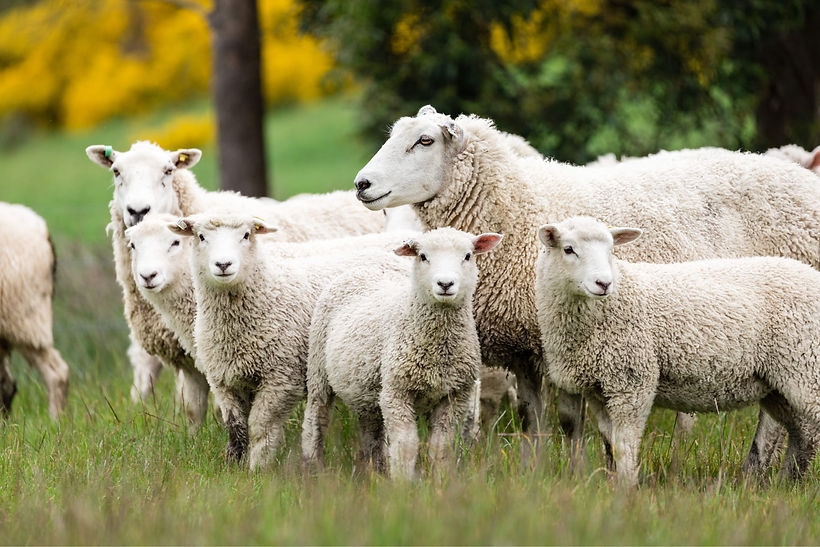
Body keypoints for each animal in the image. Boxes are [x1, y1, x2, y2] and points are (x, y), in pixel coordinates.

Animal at [170, 213, 407, 470]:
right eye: (201, 236)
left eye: (246, 235)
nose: (223, 265)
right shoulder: (224, 381)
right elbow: (236, 429)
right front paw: (232, 466)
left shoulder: (281, 379)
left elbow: (259, 427)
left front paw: (258, 468)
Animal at [302, 228, 503, 480]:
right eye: (423, 256)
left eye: (467, 256)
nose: (445, 283)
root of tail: (362, 269)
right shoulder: (397, 392)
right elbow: (405, 446)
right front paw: (403, 484)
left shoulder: (455, 395)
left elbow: (441, 447)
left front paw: (441, 482)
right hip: (318, 370)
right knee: (315, 420)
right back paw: (313, 469)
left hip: (367, 390)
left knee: (370, 431)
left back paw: (375, 472)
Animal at [535, 216, 820, 487]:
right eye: (569, 249)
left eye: (611, 250)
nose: (604, 283)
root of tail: (810, 273)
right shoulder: (598, 389)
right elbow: (611, 443)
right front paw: (613, 485)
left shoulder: (632, 381)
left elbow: (626, 445)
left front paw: (626, 490)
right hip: (779, 386)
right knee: (803, 434)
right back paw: (788, 481)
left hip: (807, 367)